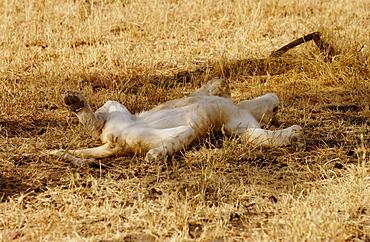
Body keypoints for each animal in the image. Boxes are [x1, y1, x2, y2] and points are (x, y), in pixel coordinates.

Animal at [52, 77, 306, 166]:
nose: (276, 111)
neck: (240, 107)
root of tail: (114, 144)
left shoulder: (236, 125)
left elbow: (262, 135)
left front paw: (293, 135)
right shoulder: (231, 113)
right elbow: (219, 84)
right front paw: (293, 133)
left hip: (137, 129)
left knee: (97, 129)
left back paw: (156, 154)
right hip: (117, 112)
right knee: (96, 124)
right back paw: (75, 101)